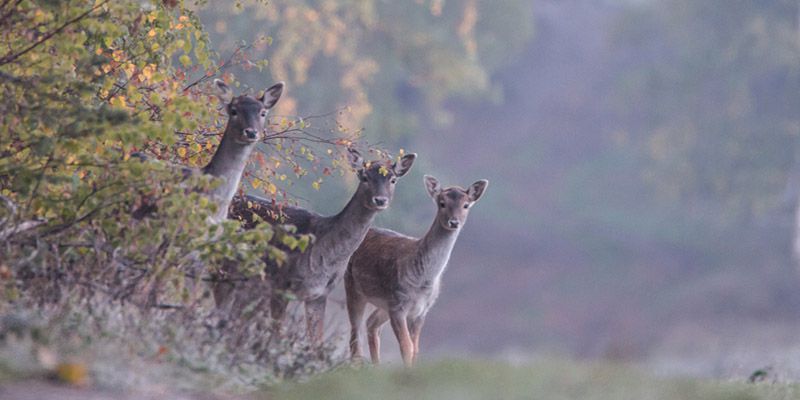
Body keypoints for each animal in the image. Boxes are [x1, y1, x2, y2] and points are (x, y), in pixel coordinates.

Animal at [219, 148, 418, 342]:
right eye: (365, 177)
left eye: (393, 179)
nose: (380, 200)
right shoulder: (280, 284)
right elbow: (275, 336)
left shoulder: (320, 294)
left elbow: (317, 342)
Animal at [344, 174, 488, 366]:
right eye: (442, 203)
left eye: (466, 205)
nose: (454, 222)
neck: (422, 281)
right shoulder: (398, 304)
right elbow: (407, 346)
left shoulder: (421, 311)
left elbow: (415, 349)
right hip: (352, 286)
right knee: (355, 332)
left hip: (384, 304)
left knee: (371, 323)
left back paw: (376, 366)